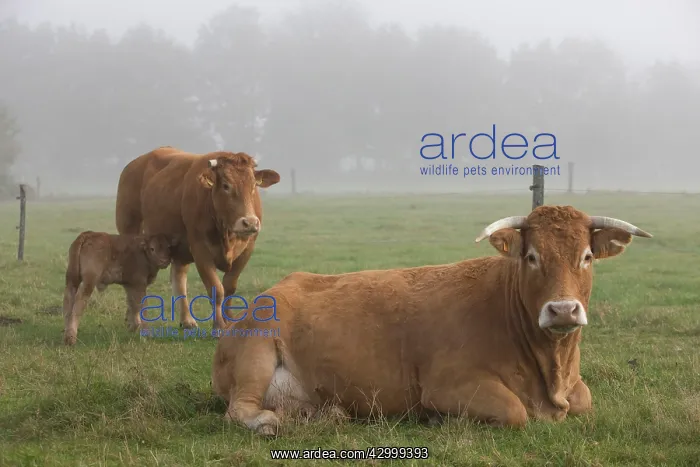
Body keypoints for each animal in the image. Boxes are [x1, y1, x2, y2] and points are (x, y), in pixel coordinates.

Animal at [115, 146, 280, 332]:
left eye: (253, 186)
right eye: (226, 186)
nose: (249, 222)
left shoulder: (247, 249)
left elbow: (229, 287)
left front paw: (229, 321)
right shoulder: (200, 249)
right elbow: (216, 289)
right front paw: (218, 326)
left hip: (179, 248)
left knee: (179, 278)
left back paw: (186, 320)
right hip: (130, 231)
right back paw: (134, 321)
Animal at [210, 205, 652, 436]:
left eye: (587, 256)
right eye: (531, 256)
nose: (562, 310)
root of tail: (273, 290)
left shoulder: (575, 390)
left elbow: (585, 400)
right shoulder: (448, 385)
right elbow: (515, 411)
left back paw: (328, 415)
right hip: (256, 355)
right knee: (240, 410)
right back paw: (269, 422)